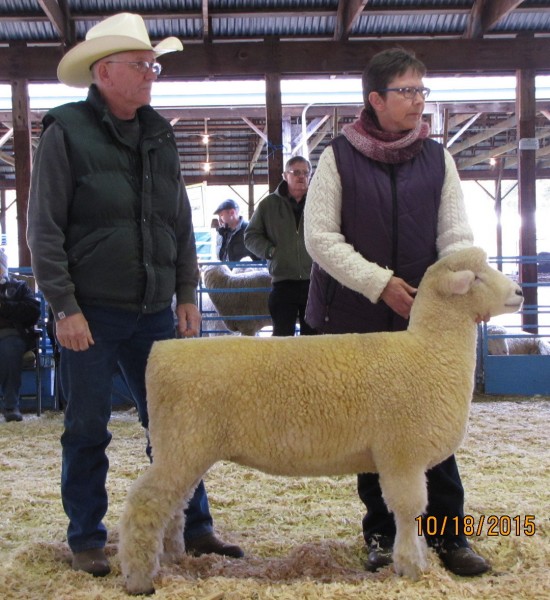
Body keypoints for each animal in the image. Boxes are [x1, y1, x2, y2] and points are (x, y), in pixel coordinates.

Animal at [118, 248, 524, 596]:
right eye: (476, 277)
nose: (520, 292)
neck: (429, 351)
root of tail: (161, 353)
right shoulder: (401, 453)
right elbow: (409, 511)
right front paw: (412, 567)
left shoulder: (402, 457)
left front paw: (415, 560)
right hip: (182, 443)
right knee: (146, 502)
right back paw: (139, 577)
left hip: (186, 448)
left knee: (174, 504)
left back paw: (172, 557)